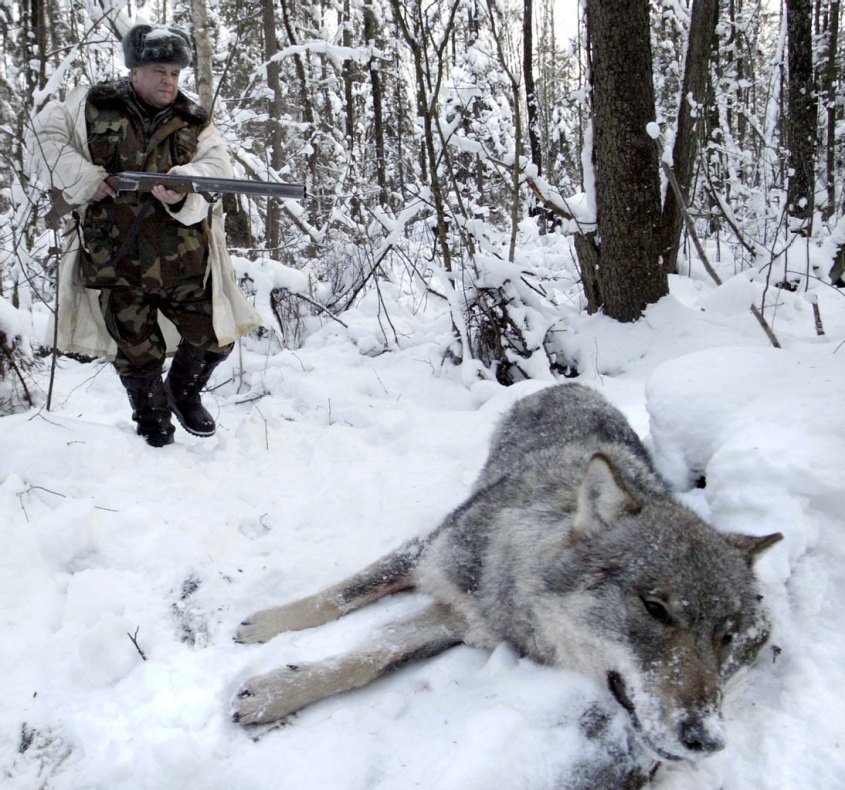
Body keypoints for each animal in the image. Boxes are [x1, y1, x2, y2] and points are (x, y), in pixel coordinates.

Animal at [232, 383, 782, 765]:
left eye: (726, 638)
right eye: (655, 608)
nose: (709, 741)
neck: (508, 572)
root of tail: (572, 383)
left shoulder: (461, 623)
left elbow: (371, 657)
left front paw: (276, 691)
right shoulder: (424, 553)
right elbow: (342, 595)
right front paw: (265, 628)